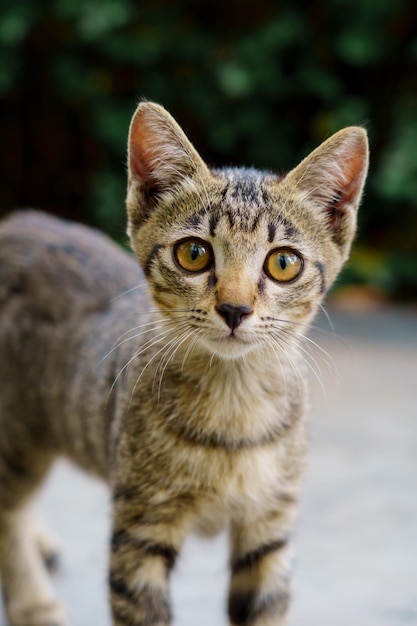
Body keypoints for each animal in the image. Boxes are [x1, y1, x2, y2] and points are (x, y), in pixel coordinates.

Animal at [0, 103, 368, 624]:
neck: (233, 408)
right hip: (18, 434)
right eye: (193, 254)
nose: (234, 308)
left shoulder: (269, 530)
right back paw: (35, 603)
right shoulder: (140, 530)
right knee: (7, 508)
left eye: (283, 263)